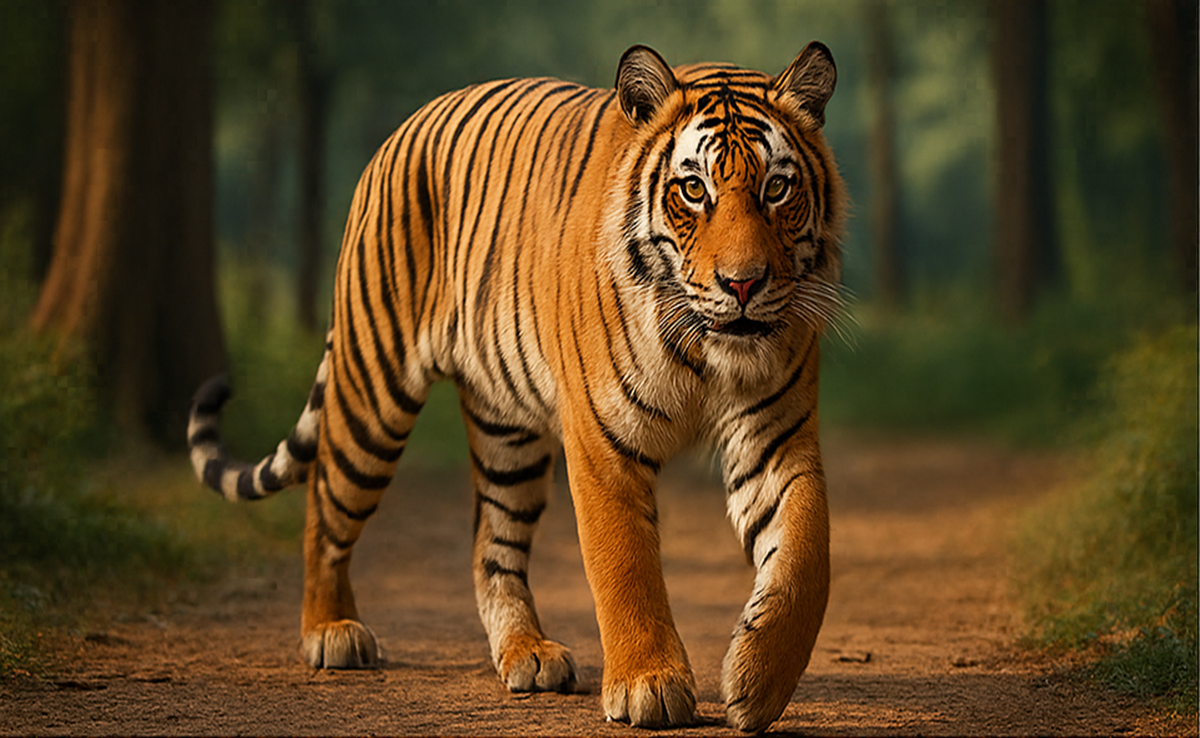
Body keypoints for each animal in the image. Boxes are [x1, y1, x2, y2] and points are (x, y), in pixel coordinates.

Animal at [187, 41, 845, 731]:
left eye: (777, 188)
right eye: (693, 190)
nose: (743, 284)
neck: (708, 350)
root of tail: (401, 129)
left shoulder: (776, 437)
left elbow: (805, 557)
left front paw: (757, 685)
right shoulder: (603, 443)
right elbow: (625, 563)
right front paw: (649, 686)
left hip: (510, 435)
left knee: (490, 544)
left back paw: (526, 652)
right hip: (372, 394)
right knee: (324, 505)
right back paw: (331, 630)